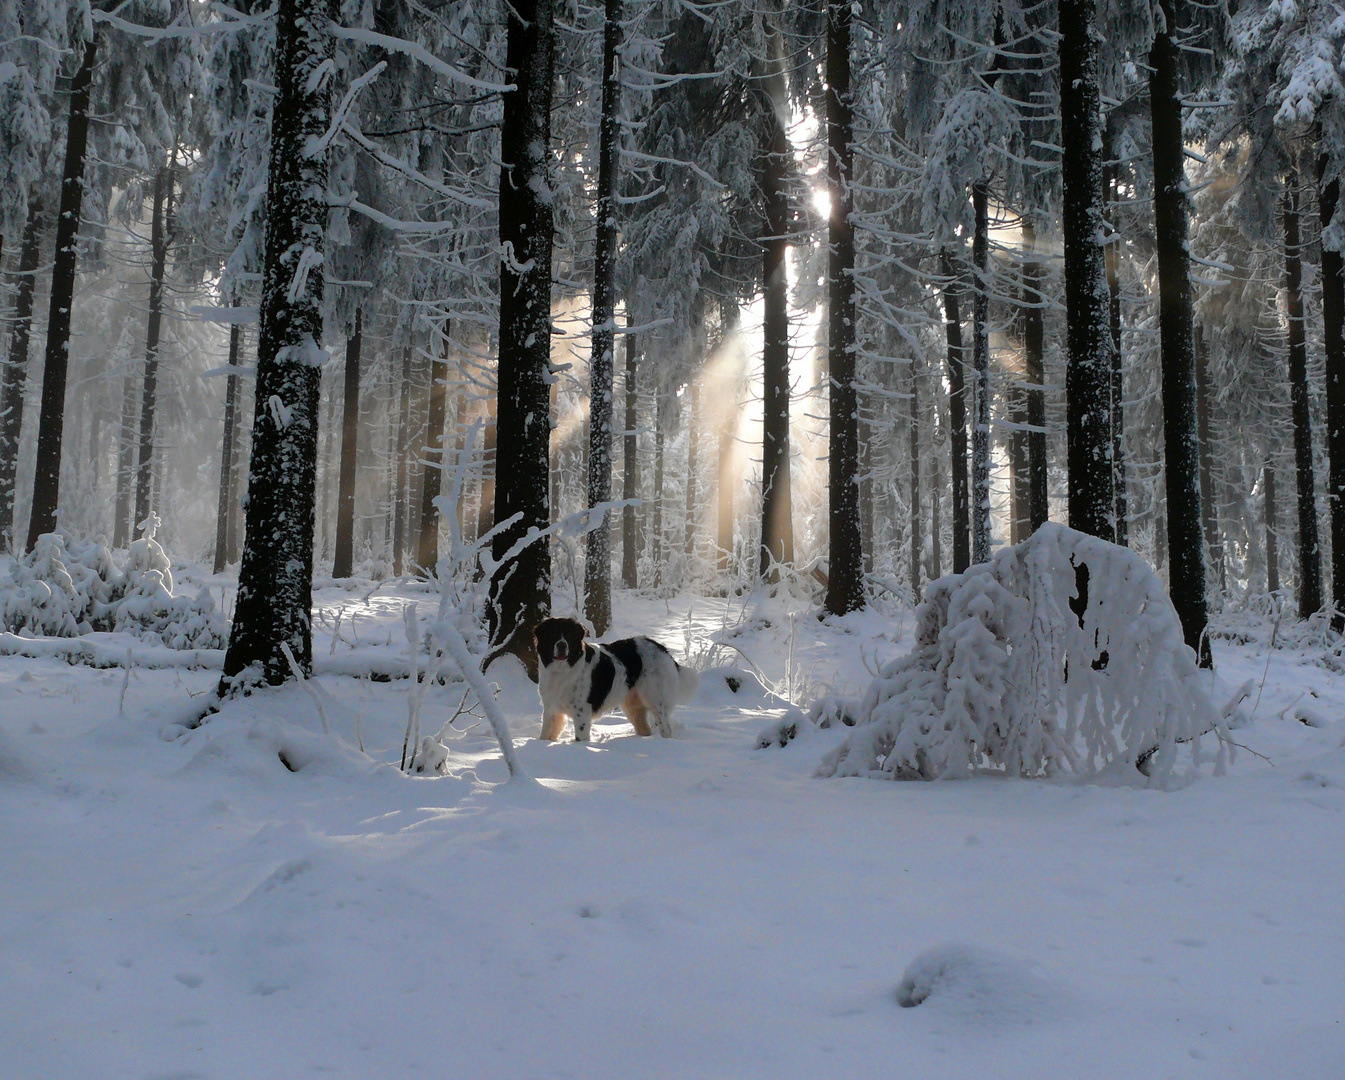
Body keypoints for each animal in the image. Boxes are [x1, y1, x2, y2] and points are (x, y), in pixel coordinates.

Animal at [535, 615, 704, 742]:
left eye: (569, 636)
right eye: (552, 635)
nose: (562, 645)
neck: (562, 670)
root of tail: (661, 648)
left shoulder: (581, 712)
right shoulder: (550, 708)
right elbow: (545, 734)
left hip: (655, 700)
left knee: (665, 727)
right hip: (633, 705)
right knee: (644, 728)